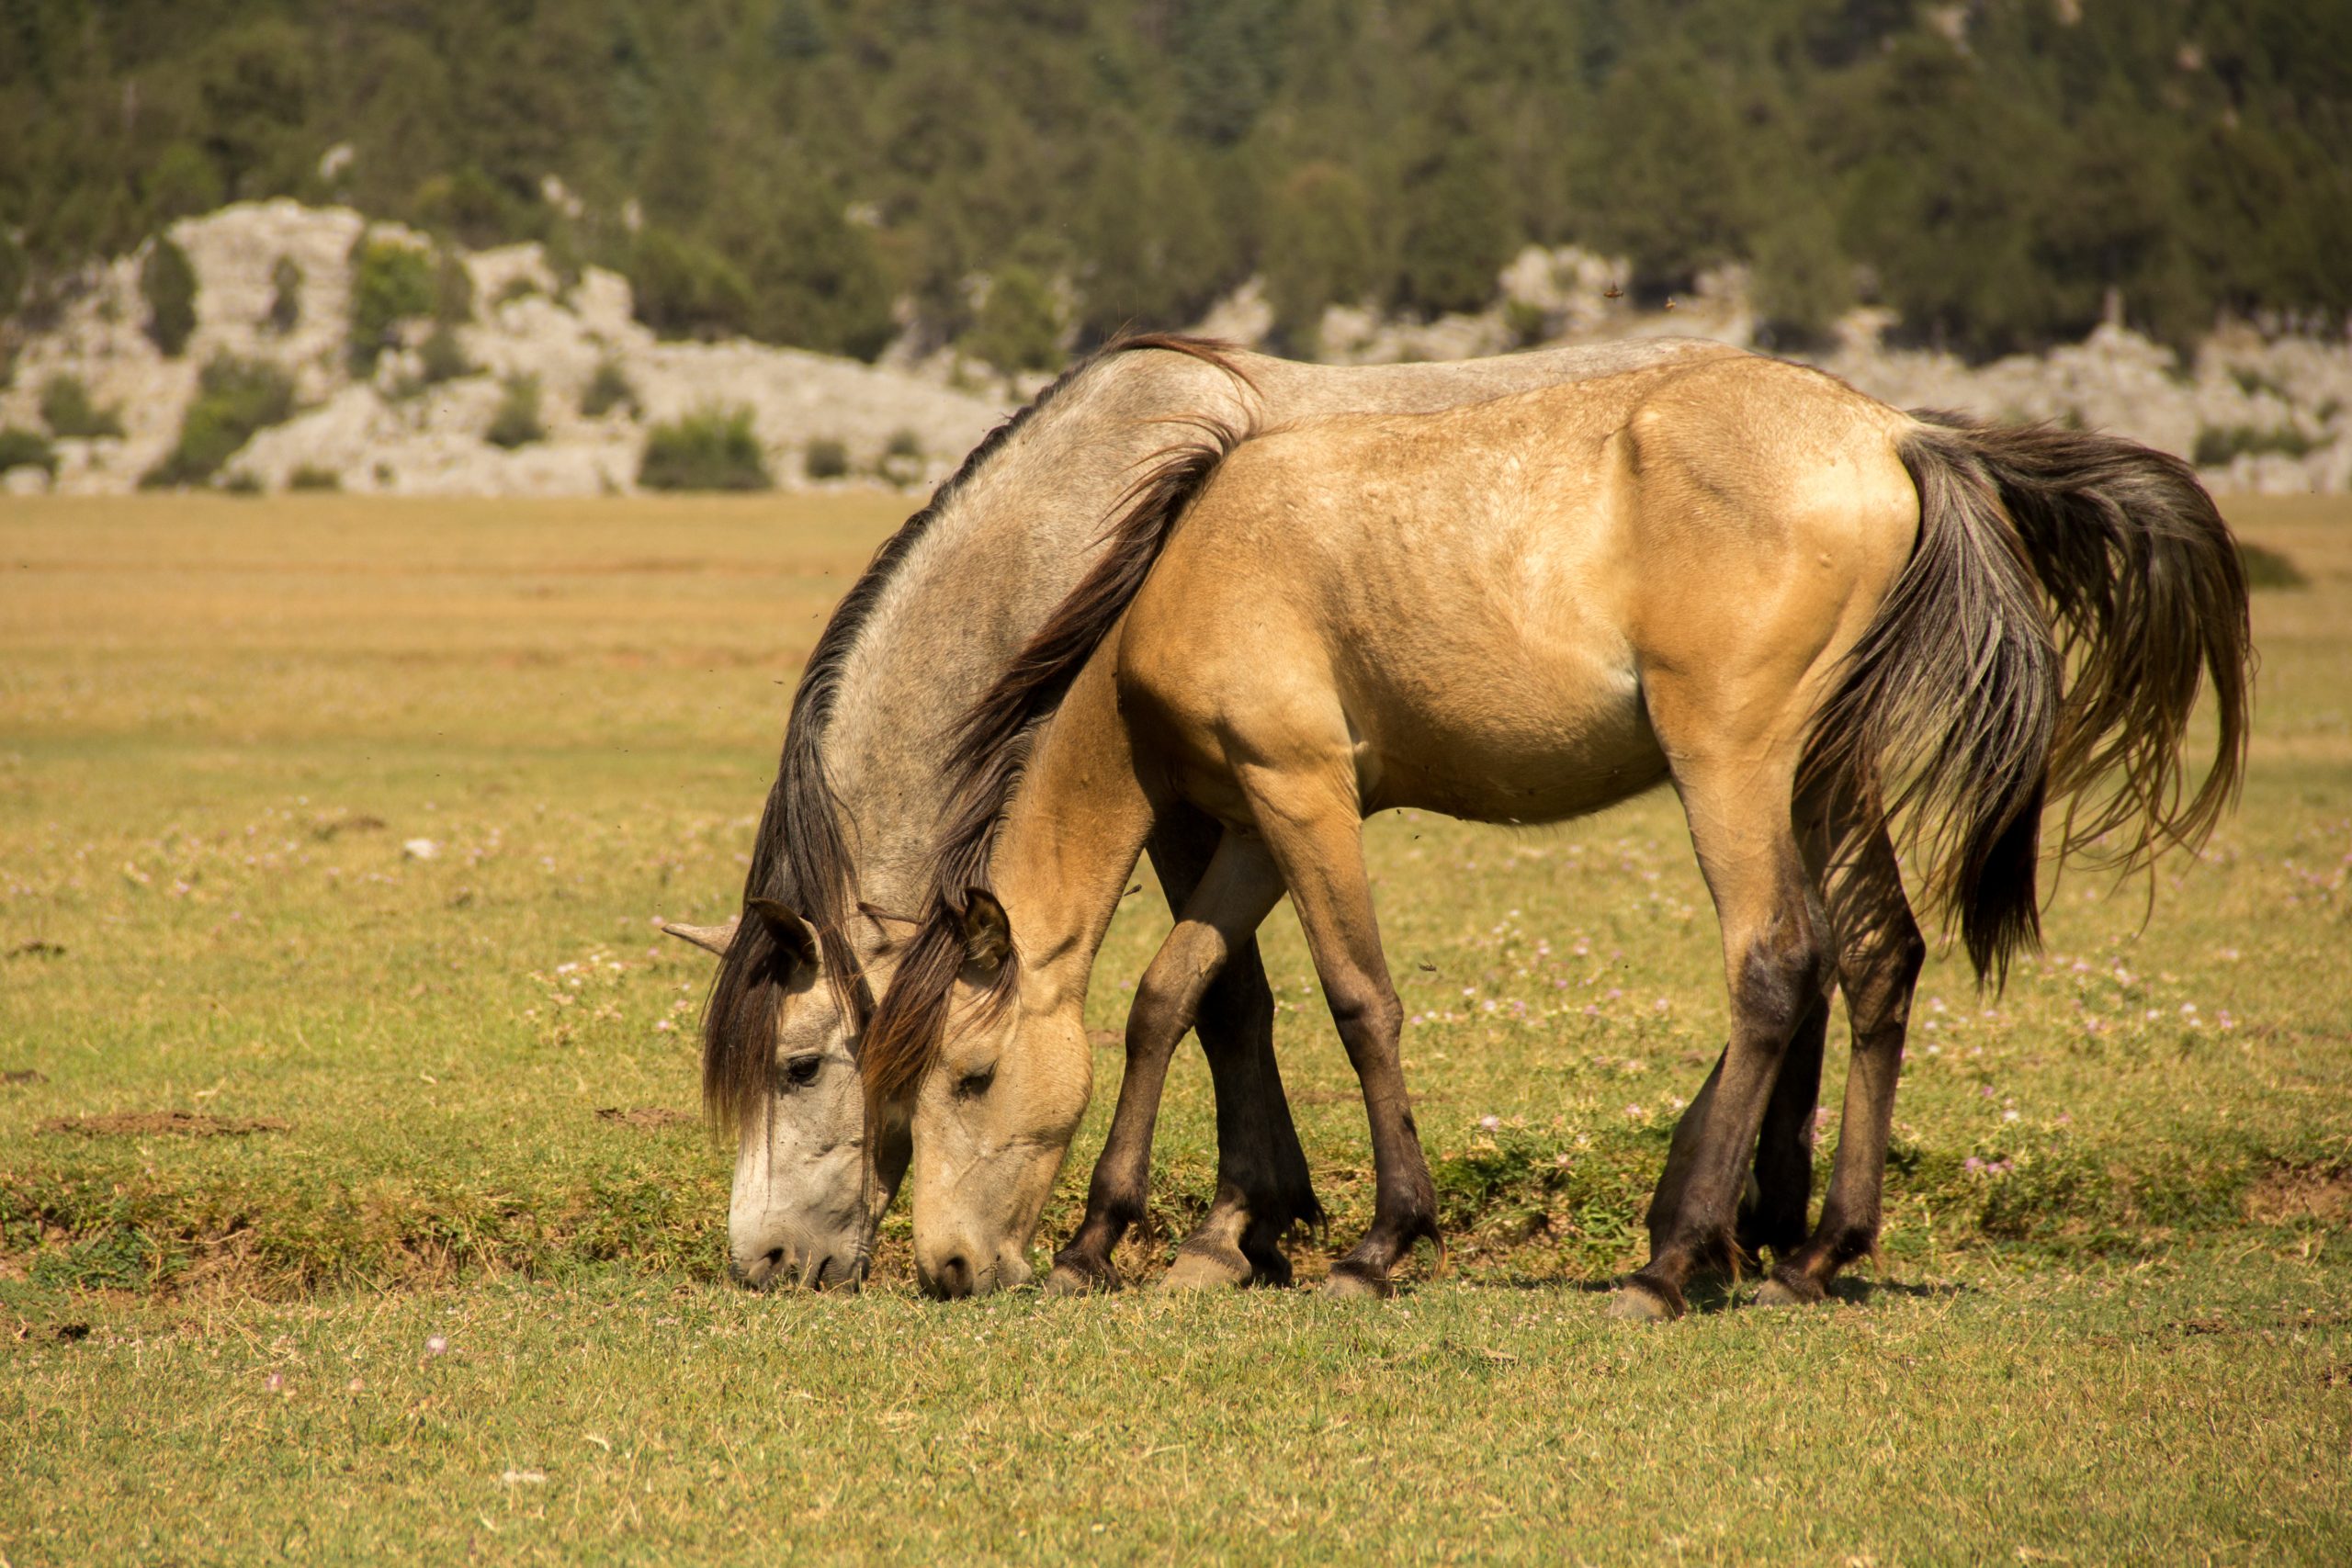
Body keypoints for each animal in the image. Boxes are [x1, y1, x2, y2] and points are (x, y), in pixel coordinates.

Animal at [662, 329, 1749, 1288]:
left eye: (801, 1064)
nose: (763, 1261)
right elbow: (1218, 991)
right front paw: (1251, 1225)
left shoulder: (1207, 808)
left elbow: (1227, 1001)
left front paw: (1228, 1233)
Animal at [860, 352, 2239, 1316]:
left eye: (967, 1076)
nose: (945, 1265)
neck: (1192, 559)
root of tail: (1895, 434)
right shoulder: (1256, 820)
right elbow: (1170, 995)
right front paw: (1105, 1239)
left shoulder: (1302, 793)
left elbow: (1358, 998)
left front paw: (1379, 1241)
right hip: (1826, 777)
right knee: (1879, 956)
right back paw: (1815, 1253)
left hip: (1731, 765)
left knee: (1777, 961)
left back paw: (1671, 1260)